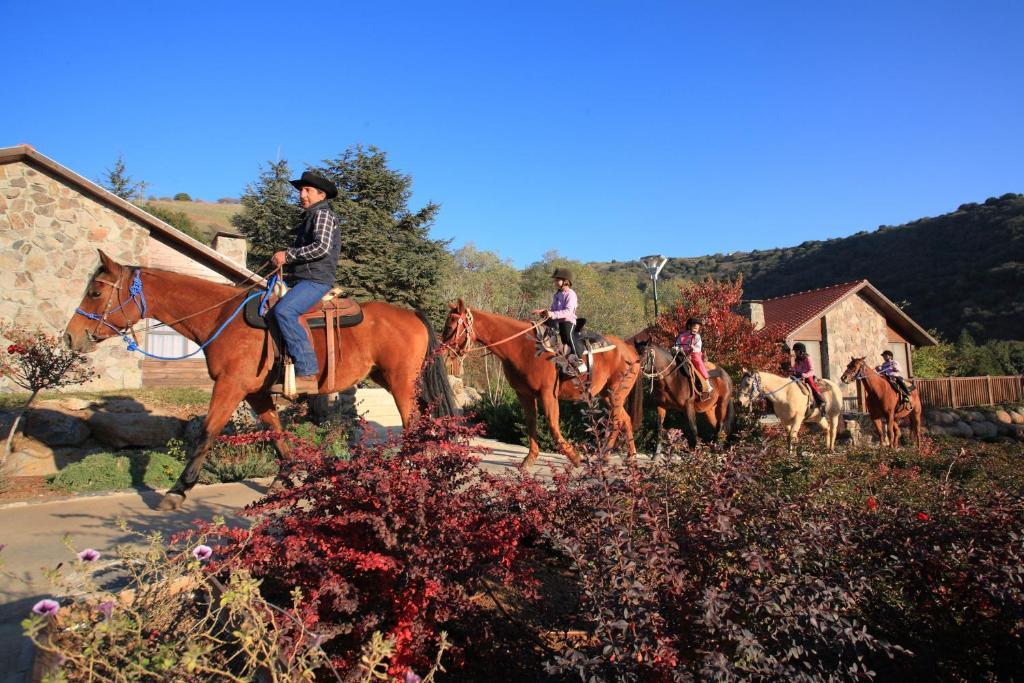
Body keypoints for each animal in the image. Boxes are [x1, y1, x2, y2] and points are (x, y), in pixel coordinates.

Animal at [66, 249, 458, 507]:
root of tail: (412, 314)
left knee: (413, 425)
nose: (71, 337)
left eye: (96, 291)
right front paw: (287, 480)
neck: (222, 317)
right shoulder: (256, 392)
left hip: (401, 382)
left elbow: (208, 432)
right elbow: (275, 431)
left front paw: (179, 489)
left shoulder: (231, 385)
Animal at [440, 301, 638, 466]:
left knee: (615, 421)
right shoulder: (524, 394)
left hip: (616, 393)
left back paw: (606, 456)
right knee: (625, 419)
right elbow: (531, 422)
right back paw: (628, 457)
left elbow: (552, 424)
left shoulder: (548, 393)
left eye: (449, 326)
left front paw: (574, 458)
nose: (442, 352)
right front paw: (529, 459)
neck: (523, 346)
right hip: (609, 395)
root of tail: (630, 350)